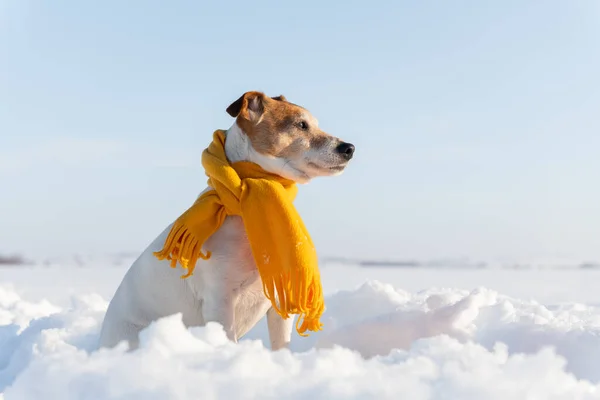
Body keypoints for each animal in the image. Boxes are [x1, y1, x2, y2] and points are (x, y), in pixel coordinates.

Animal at [96, 90, 354, 350]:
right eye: (301, 125)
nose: (349, 148)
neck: (243, 210)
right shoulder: (219, 301)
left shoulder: (279, 300)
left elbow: (281, 343)